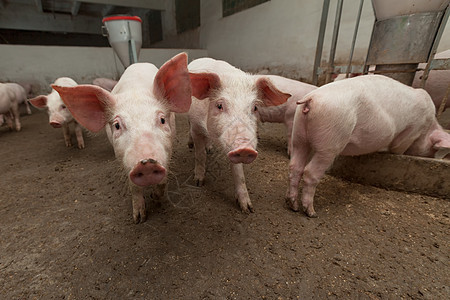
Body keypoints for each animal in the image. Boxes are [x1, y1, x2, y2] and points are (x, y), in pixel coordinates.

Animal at [53, 52, 193, 224]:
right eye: (117, 125)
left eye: (162, 120)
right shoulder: (120, 157)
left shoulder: (169, 148)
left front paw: (156, 198)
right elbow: (134, 187)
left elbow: (163, 180)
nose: (146, 163)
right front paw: (138, 219)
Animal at [188, 57, 290, 212]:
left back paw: (210, 148)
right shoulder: (196, 126)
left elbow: (238, 173)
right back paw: (190, 144)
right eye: (219, 105)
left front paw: (247, 209)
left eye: (255, 107)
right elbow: (199, 155)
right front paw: (198, 182)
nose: (244, 148)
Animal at [286, 74, 450, 217]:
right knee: (310, 172)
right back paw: (311, 212)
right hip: (330, 141)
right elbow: (398, 148)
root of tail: (310, 99)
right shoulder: (411, 132)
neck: (428, 127)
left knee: (295, 166)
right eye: (433, 148)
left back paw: (293, 205)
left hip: (299, 135)